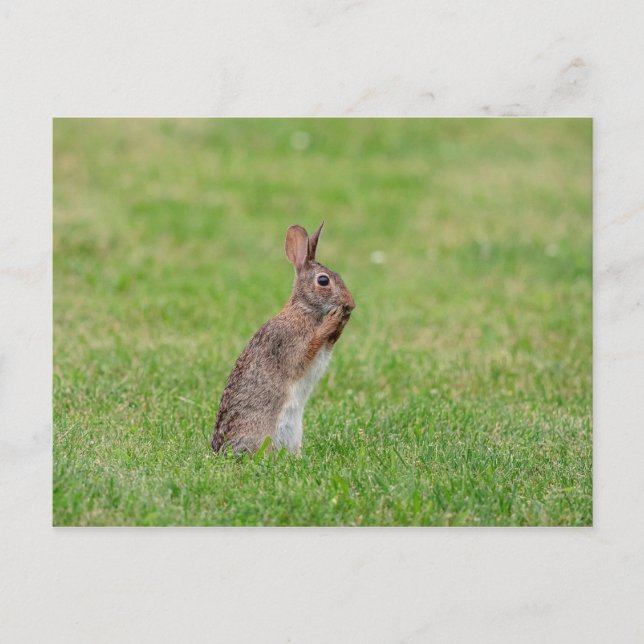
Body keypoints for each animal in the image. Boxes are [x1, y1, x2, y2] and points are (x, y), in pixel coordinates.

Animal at [212, 223, 355, 455]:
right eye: (323, 280)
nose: (351, 304)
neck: (304, 310)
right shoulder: (290, 344)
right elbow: (308, 350)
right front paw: (333, 319)